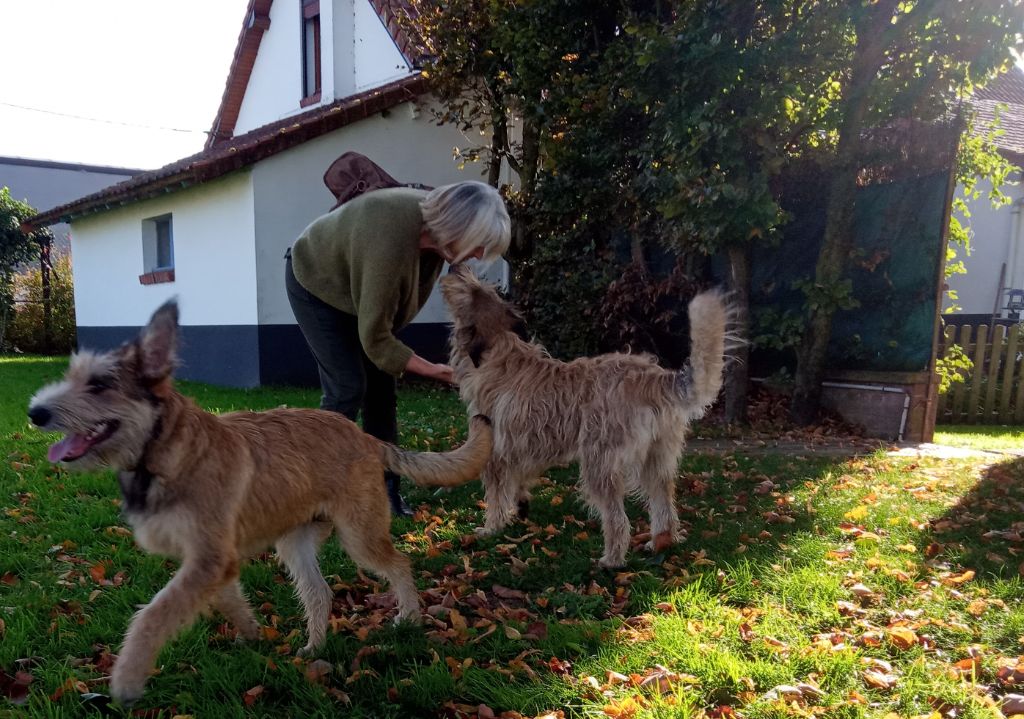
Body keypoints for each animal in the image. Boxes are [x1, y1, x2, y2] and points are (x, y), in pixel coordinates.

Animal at [29, 301, 493, 708]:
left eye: (100, 384)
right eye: (72, 377)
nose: (35, 412)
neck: (166, 451)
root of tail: (366, 437)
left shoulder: (208, 560)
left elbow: (153, 615)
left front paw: (127, 676)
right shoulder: (213, 561)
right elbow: (227, 599)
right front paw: (251, 632)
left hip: (360, 536)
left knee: (399, 564)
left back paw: (409, 618)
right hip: (294, 544)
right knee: (320, 593)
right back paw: (313, 647)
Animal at [440, 268, 729, 573]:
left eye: (470, 289)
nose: (454, 269)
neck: (498, 348)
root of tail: (653, 378)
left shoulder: (495, 452)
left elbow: (496, 495)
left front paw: (491, 528)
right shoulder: (520, 448)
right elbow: (519, 482)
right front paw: (520, 506)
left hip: (599, 462)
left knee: (617, 519)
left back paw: (612, 559)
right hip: (657, 458)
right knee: (664, 504)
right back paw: (661, 541)